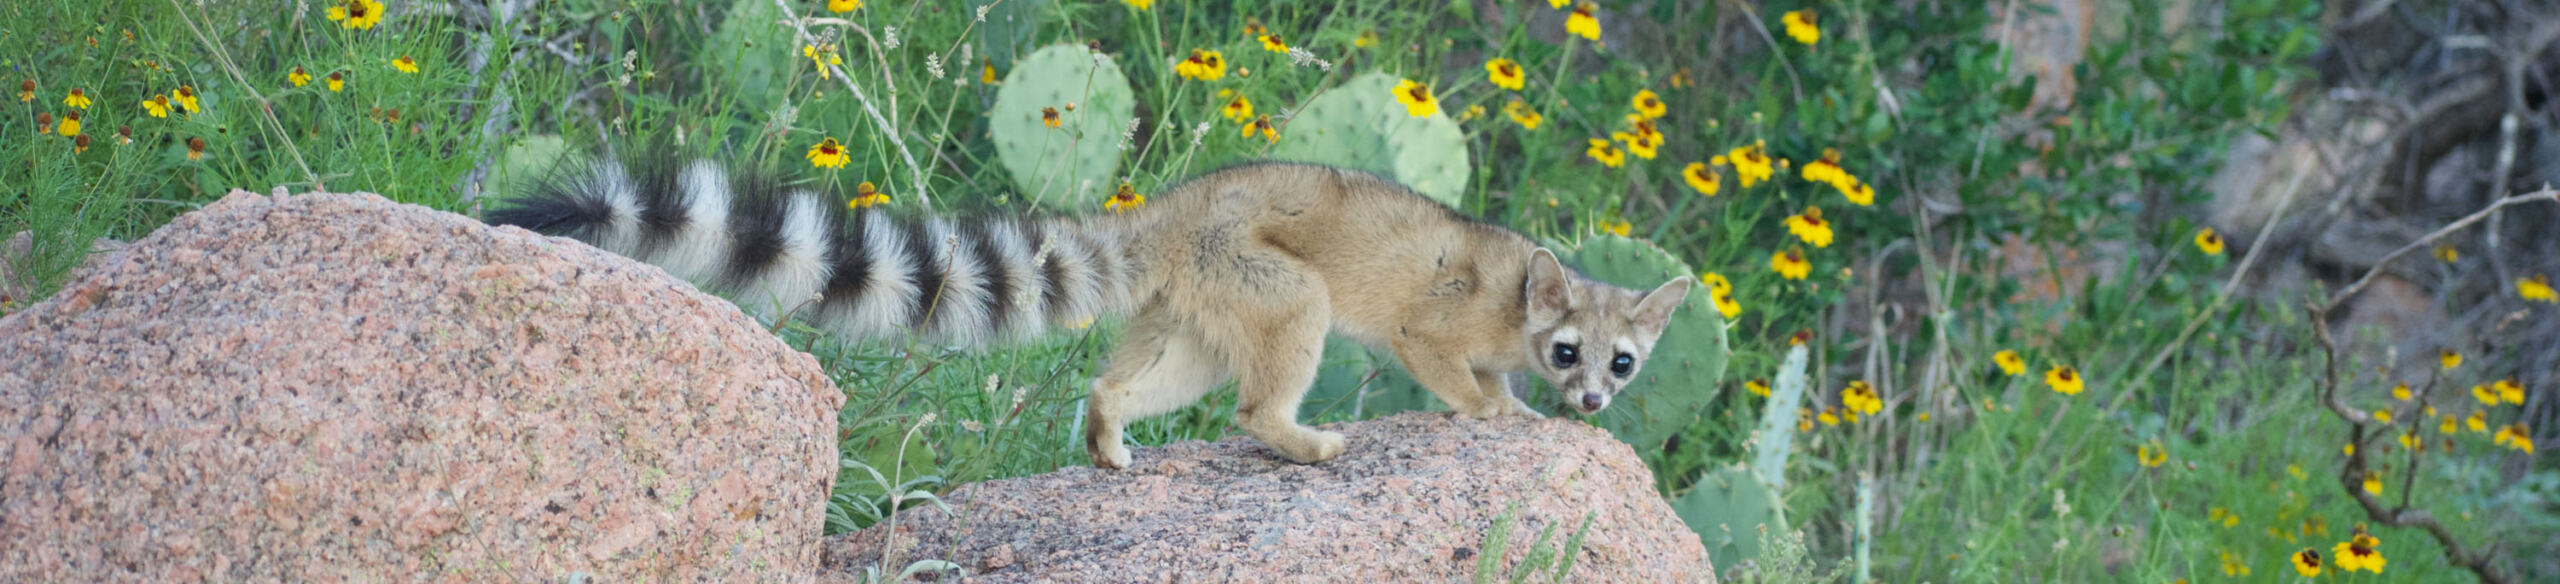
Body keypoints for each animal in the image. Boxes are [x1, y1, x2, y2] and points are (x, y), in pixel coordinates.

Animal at [494, 154, 1699, 468]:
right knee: (1270, 367)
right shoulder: (1444, 323)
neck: (1524, 295)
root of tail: (1174, 209)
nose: (1594, 403)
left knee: (1159, 375)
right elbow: (1444, 361)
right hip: (1263, 275)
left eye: (1624, 363)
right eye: (1569, 350)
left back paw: (1113, 419)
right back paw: (1289, 433)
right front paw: (1501, 413)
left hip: (1200, 307)